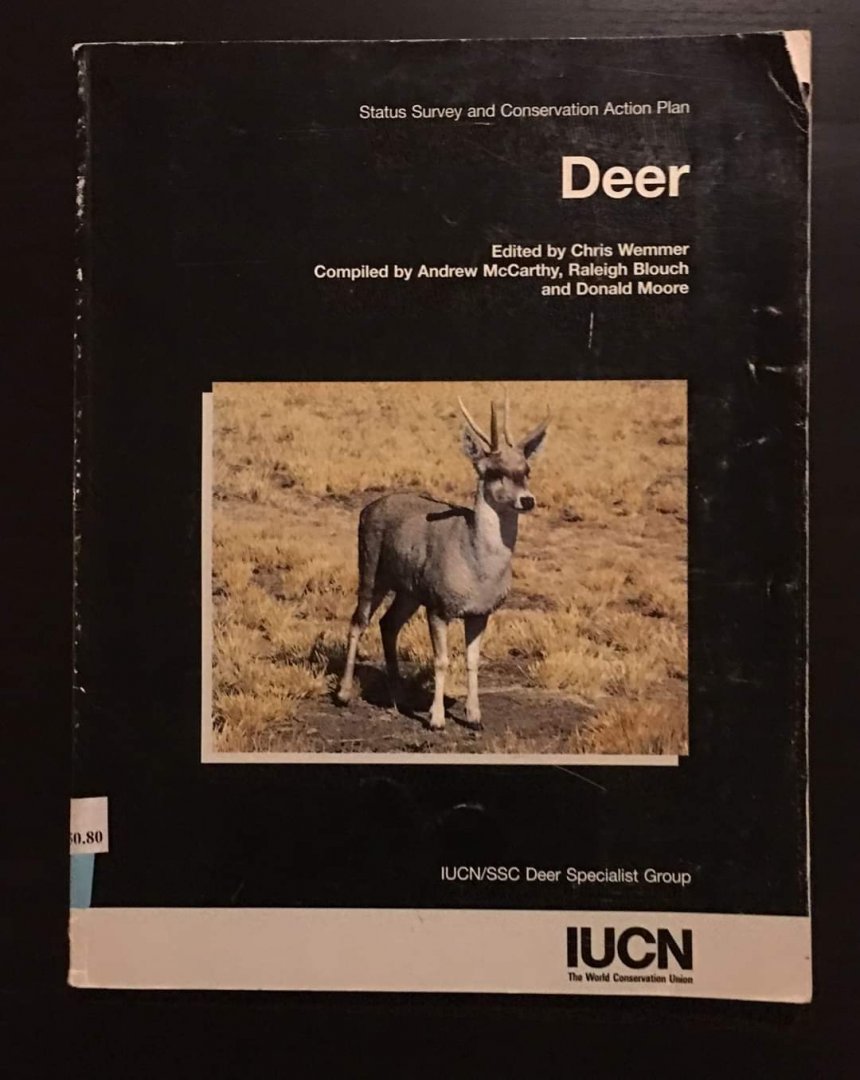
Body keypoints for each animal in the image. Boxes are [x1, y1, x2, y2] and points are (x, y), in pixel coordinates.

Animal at [336, 392, 549, 732]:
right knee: (359, 621)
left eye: (526, 469)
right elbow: (441, 660)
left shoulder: (480, 613)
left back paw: (398, 696)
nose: (527, 500)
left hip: (409, 591)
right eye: (493, 471)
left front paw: (474, 717)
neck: (477, 567)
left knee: (388, 623)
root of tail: (367, 508)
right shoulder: (438, 606)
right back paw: (343, 693)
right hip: (370, 569)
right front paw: (436, 719)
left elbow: (472, 661)